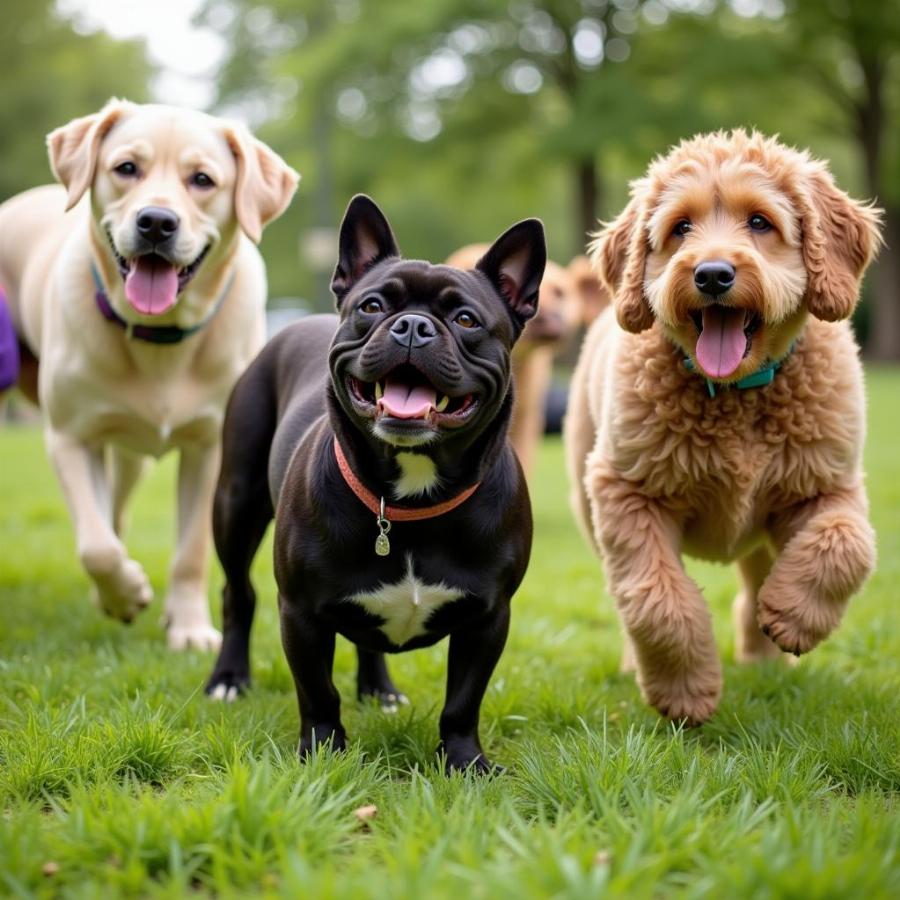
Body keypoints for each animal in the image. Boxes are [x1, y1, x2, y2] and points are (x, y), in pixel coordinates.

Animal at [0, 96, 298, 648]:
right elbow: (95, 545)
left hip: (131, 457)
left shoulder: (210, 448)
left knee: (117, 508)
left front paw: (190, 629)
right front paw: (126, 592)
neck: (160, 339)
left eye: (202, 179)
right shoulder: (70, 437)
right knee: (104, 524)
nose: (156, 222)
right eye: (126, 169)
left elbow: (190, 553)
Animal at [568, 132, 884, 724]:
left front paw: (793, 616)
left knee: (756, 577)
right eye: (680, 228)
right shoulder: (627, 492)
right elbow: (653, 600)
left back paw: (763, 654)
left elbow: (847, 544)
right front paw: (684, 693)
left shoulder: (828, 481)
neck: (736, 393)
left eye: (760, 222)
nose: (712, 274)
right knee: (626, 596)